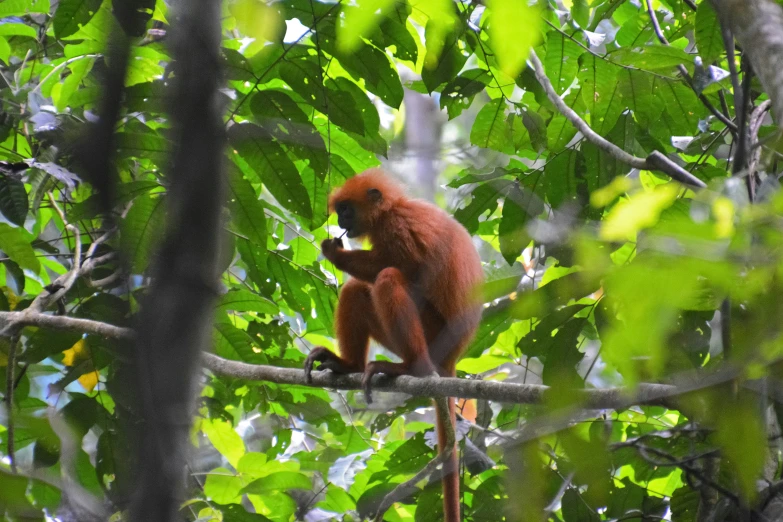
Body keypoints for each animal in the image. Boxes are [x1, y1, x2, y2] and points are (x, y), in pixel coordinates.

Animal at [304, 169, 484, 516]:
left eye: (346, 209)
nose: (341, 220)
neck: (392, 210)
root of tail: (451, 358)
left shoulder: (397, 228)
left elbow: (412, 271)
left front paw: (335, 253)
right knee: (357, 289)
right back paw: (349, 364)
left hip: (433, 334)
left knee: (388, 277)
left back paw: (410, 367)